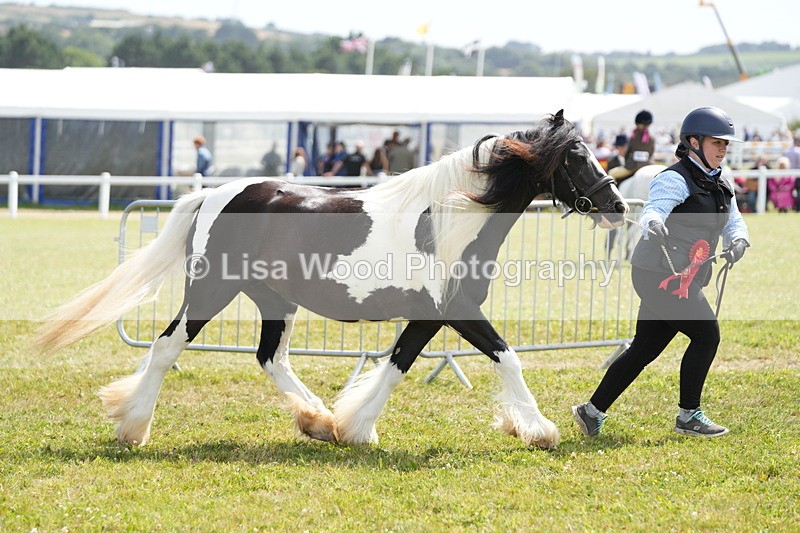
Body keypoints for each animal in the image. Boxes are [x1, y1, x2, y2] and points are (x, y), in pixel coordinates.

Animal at [35, 110, 627, 450]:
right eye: (576, 156)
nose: (618, 206)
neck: (450, 218)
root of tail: (214, 194)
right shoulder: (457, 312)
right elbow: (508, 356)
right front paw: (540, 430)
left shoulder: (430, 317)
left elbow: (396, 366)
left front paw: (354, 427)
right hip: (211, 290)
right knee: (165, 347)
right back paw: (133, 427)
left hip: (274, 299)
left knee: (270, 357)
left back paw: (316, 421)